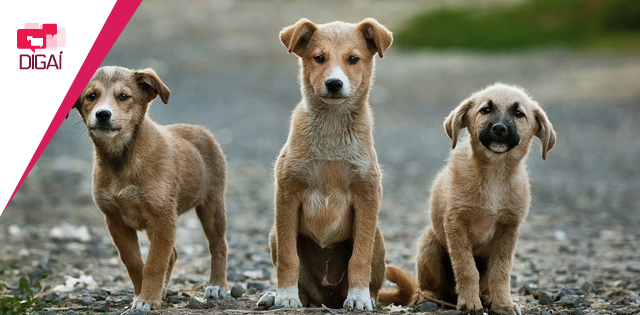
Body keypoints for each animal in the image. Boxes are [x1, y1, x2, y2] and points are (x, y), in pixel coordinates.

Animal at [74, 66, 229, 312]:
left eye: (124, 96)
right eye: (91, 96)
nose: (103, 114)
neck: (122, 159)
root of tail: (199, 129)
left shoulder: (162, 216)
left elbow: (155, 263)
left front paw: (147, 298)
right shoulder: (115, 220)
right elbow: (135, 263)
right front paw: (143, 295)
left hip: (212, 205)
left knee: (218, 245)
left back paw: (217, 285)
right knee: (173, 254)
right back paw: (163, 291)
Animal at [258, 19, 392, 312]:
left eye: (353, 59)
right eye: (319, 58)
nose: (334, 84)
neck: (331, 129)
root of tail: (328, 295)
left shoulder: (367, 195)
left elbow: (359, 258)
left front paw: (359, 297)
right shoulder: (287, 193)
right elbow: (288, 257)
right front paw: (285, 295)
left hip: (378, 238)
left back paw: (366, 297)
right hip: (274, 233)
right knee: (302, 283)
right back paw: (275, 295)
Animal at [380, 82, 556, 314]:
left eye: (519, 113)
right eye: (486, 110)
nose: (499, 128)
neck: (494, 174)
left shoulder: (508, 229)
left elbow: (501, 271)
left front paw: (503, 303)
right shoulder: (456, 224)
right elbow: (466, 268)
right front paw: (470, 303)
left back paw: (487, 297)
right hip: (429, 243)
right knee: (427, 286)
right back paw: (427, 297)